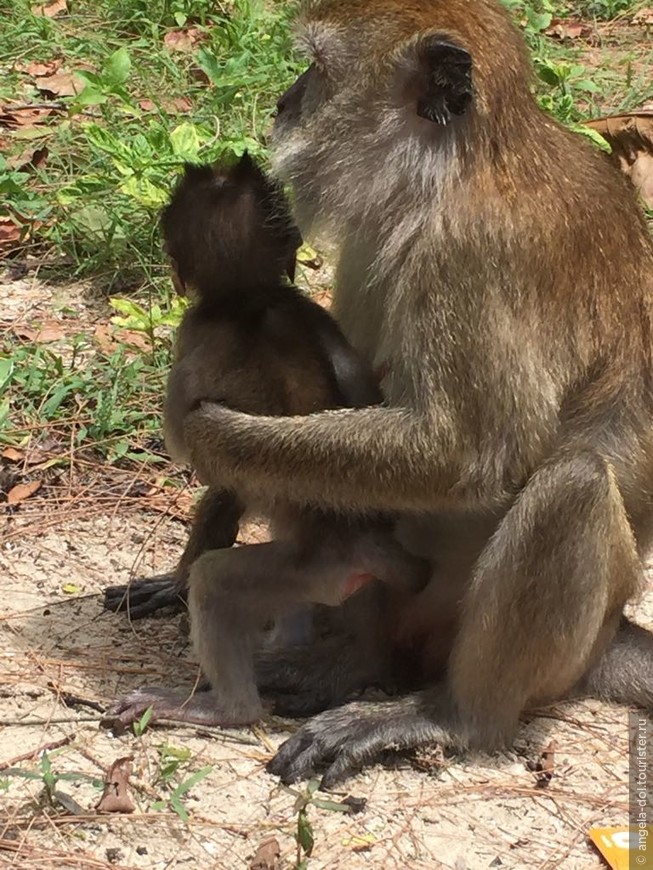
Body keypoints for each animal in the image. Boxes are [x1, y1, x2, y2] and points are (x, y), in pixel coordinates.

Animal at [104, 155, 428, 728]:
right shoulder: (314, 312)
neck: (252, 301)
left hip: (309, 570)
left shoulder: (194, 330)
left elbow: (196, 448)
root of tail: (361, 543)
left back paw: (224, 709)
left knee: (218, 583)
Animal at [176, 0, 652, 792]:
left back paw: (453, 716)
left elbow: (469, 454)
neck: (453, 172)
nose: (282, 104)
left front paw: (215, 440)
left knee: (572, 486)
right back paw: (348, 660)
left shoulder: (474, 254)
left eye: (317, 70)